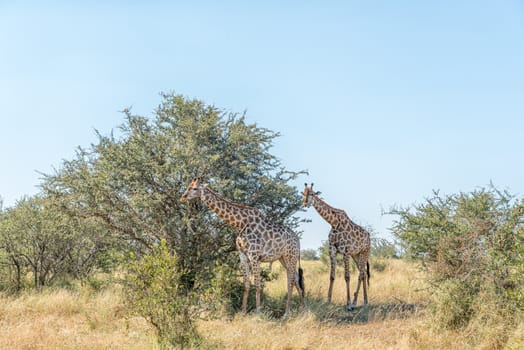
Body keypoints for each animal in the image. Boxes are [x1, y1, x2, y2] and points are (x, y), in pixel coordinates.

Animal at [180, 178, 304, 318]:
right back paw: (303, 309)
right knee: (295, 279)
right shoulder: (243, 255)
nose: (183, 196)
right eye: (188, 186)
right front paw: (243, 312)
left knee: (291, 281)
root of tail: (298, 239)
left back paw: (287, 313)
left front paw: (258, 313)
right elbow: (246, 284)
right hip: (283, 258)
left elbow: (257, 284)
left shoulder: (254, 256)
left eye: (195, 188)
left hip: (291, 256)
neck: (240, 224)